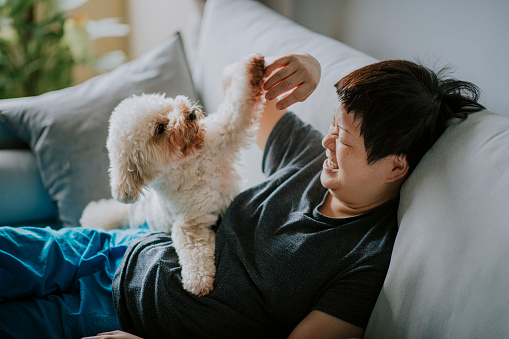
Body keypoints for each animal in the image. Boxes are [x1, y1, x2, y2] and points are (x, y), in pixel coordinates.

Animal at [81, 54, 264, 296]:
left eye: (167, 108)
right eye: (160, 128)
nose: (191, 113)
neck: (190, 163)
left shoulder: (225, 132)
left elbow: (238, 105)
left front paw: (254, 68)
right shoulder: (189, 224)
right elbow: (193, 252)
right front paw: (198, 282)